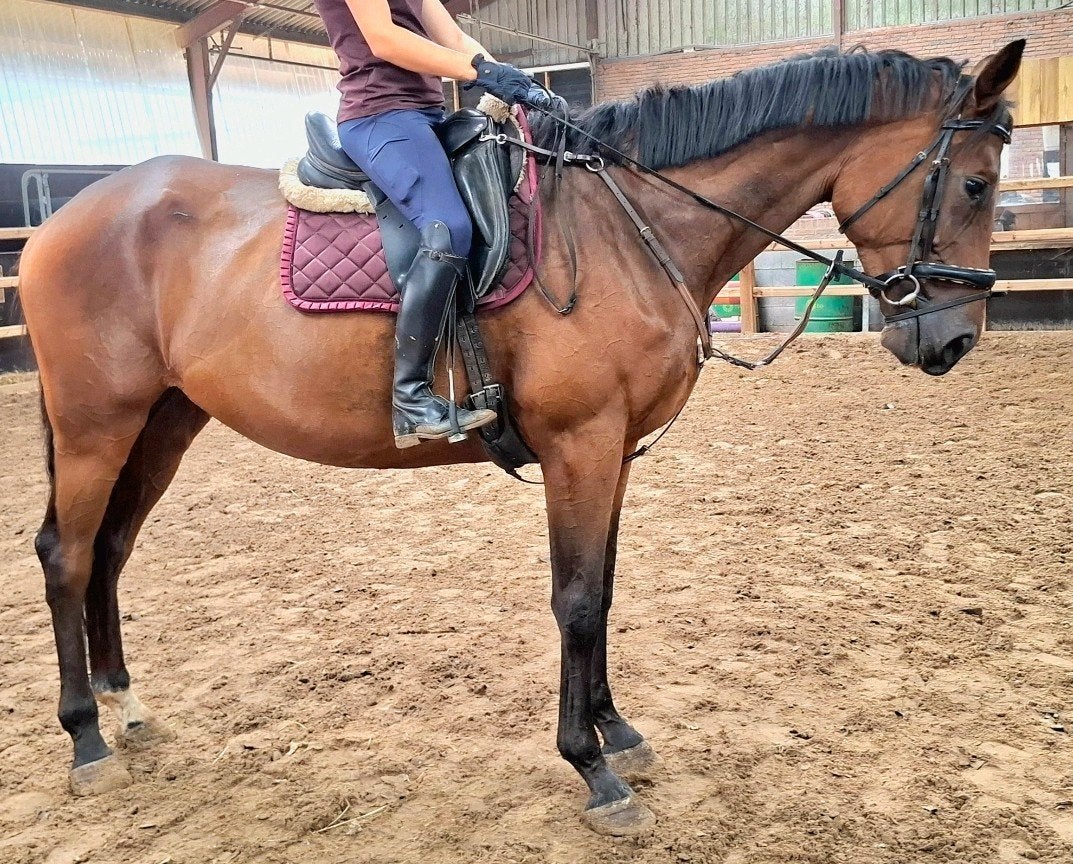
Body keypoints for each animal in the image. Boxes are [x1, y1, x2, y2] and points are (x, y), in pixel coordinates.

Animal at [18, 41, 1022, 835]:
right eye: (975, 184)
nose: (952, 342)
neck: (626, 224)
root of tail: (61, 221)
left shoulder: (615, 452)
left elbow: (605, 593)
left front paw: (618, 731)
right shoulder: (580, 444)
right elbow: (574, 601)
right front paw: (593, 769)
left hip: (164, 418)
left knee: (111, 547)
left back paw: (124, 704)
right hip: (96, 421)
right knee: (68, 554)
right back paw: (85, 738)